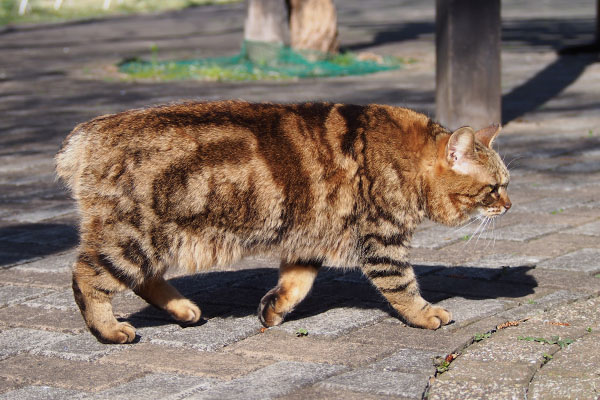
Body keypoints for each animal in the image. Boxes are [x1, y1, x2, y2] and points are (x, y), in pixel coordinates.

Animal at [55, 101, 510, 344]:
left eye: (506, 184)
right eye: (494, 188)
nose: (508, 205)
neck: (408, 157)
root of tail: (85, 133)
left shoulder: (308, 239)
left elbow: (295, 283)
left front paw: (273, 310)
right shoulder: (383, 243)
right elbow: (403, 287)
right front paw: (426, 314)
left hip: (155, 241)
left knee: (142, 279)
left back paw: (184, 310)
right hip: (135, 237)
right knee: (85, 275)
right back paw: (109, 330)